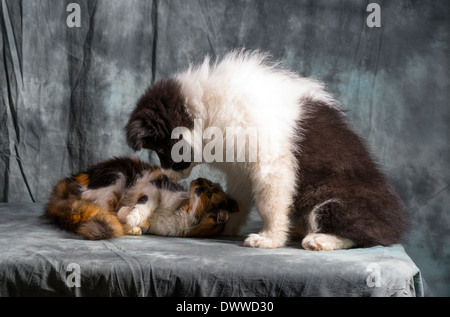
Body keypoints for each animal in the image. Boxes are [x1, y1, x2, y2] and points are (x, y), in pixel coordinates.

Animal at [43, 157, 239, 238]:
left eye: (209, 193)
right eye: (209, 184)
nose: (200, 180)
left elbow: (143, 222)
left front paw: (129, 217)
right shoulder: (155, 185)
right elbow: (147, 203)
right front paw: (130, 215)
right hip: (116, 177)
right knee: (104, 211)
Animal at [125, 50, 410, 249]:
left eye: (164, 149)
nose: (165, 176)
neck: (205, 109)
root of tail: (395, 223)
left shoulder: (271, 163)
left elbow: (268, 203)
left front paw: (268, 239)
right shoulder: (241, 168)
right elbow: (238, 198)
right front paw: (224, 220)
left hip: (331, 199)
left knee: (369, 235)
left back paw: (320, 239)